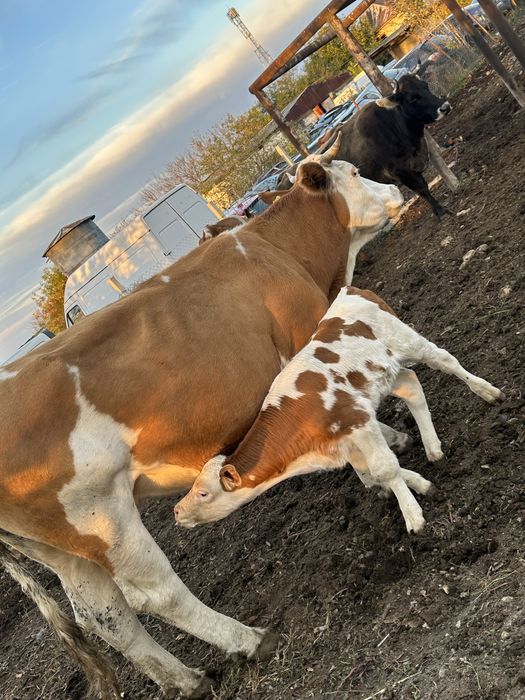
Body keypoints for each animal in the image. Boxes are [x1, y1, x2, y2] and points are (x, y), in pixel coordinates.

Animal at [0, 151, 403, 699]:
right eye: (356, 174)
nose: (397, 190)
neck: (276, 249)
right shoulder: (308, 331)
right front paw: (388, 450)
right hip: (103, 518)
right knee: (154, 594)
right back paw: (250, 640)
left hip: (61, 546)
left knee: (104, 615)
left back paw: (186, 679)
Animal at [175, 286, 503, 533]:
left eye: (204, 493)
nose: (177, 511)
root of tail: (349, 291)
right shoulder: (345, 444)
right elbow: (372, 475)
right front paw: (420, 484)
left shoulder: (357, 421)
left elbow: (385, 468)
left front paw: (413, 515)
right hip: (385, 373)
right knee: (411, 386)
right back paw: (433, 448)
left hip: (408, 340)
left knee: (445, 360)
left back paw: (487, 392)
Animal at [277, 74, 452, 218]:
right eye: (412, 98)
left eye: (425, 86)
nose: (445, 106)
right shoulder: (401, 171)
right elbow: (422, 189)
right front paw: (439, 210)